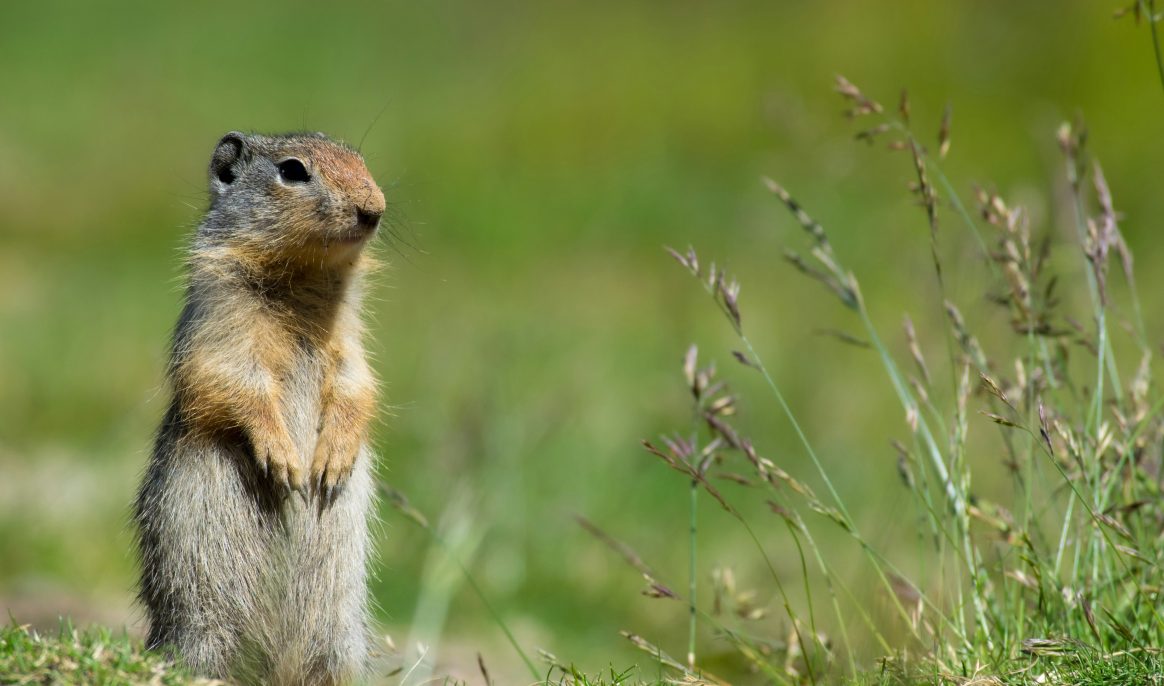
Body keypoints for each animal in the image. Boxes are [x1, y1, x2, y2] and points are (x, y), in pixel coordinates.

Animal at [133, 131, 385, 685]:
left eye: (362, 161)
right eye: (292, 171)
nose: (374, 209)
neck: (301, 279)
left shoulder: (350, 342)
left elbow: (356, 384)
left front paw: (331, 463)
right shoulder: (221, 320)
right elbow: (233, 381)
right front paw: (286, 463)